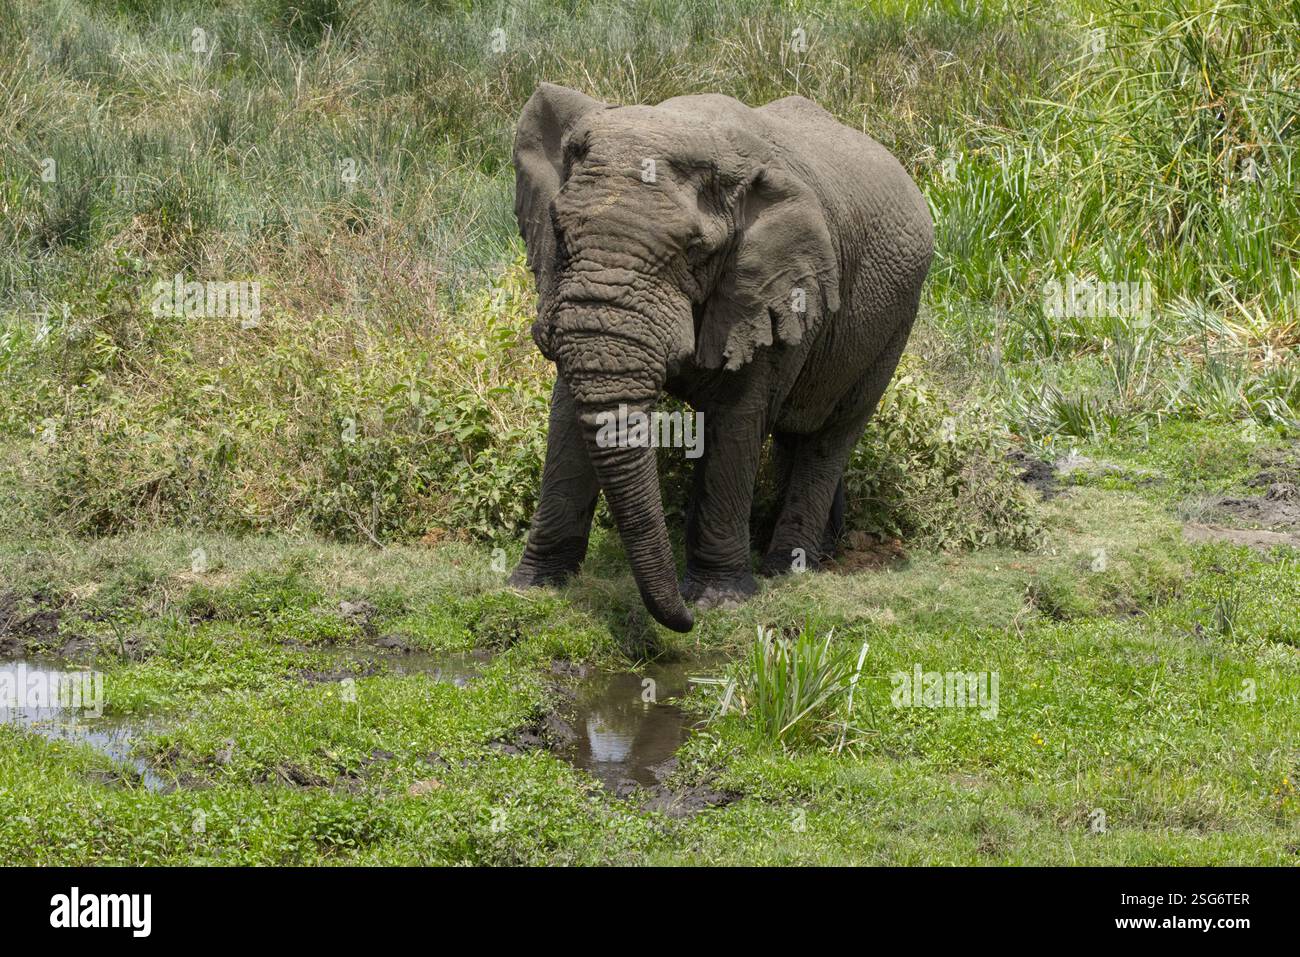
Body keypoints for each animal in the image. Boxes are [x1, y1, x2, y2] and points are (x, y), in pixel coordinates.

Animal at [507, 83, 934, 633]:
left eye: (696, 250)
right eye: (558, 231)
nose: (685, 622)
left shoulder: (772, 282)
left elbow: (738, 421)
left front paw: (718, 601)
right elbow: (568, 412)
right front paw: (532, 588)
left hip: (896, 322)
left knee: (832, 434)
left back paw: (787, 569)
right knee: (799, 433)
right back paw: (819, 554)